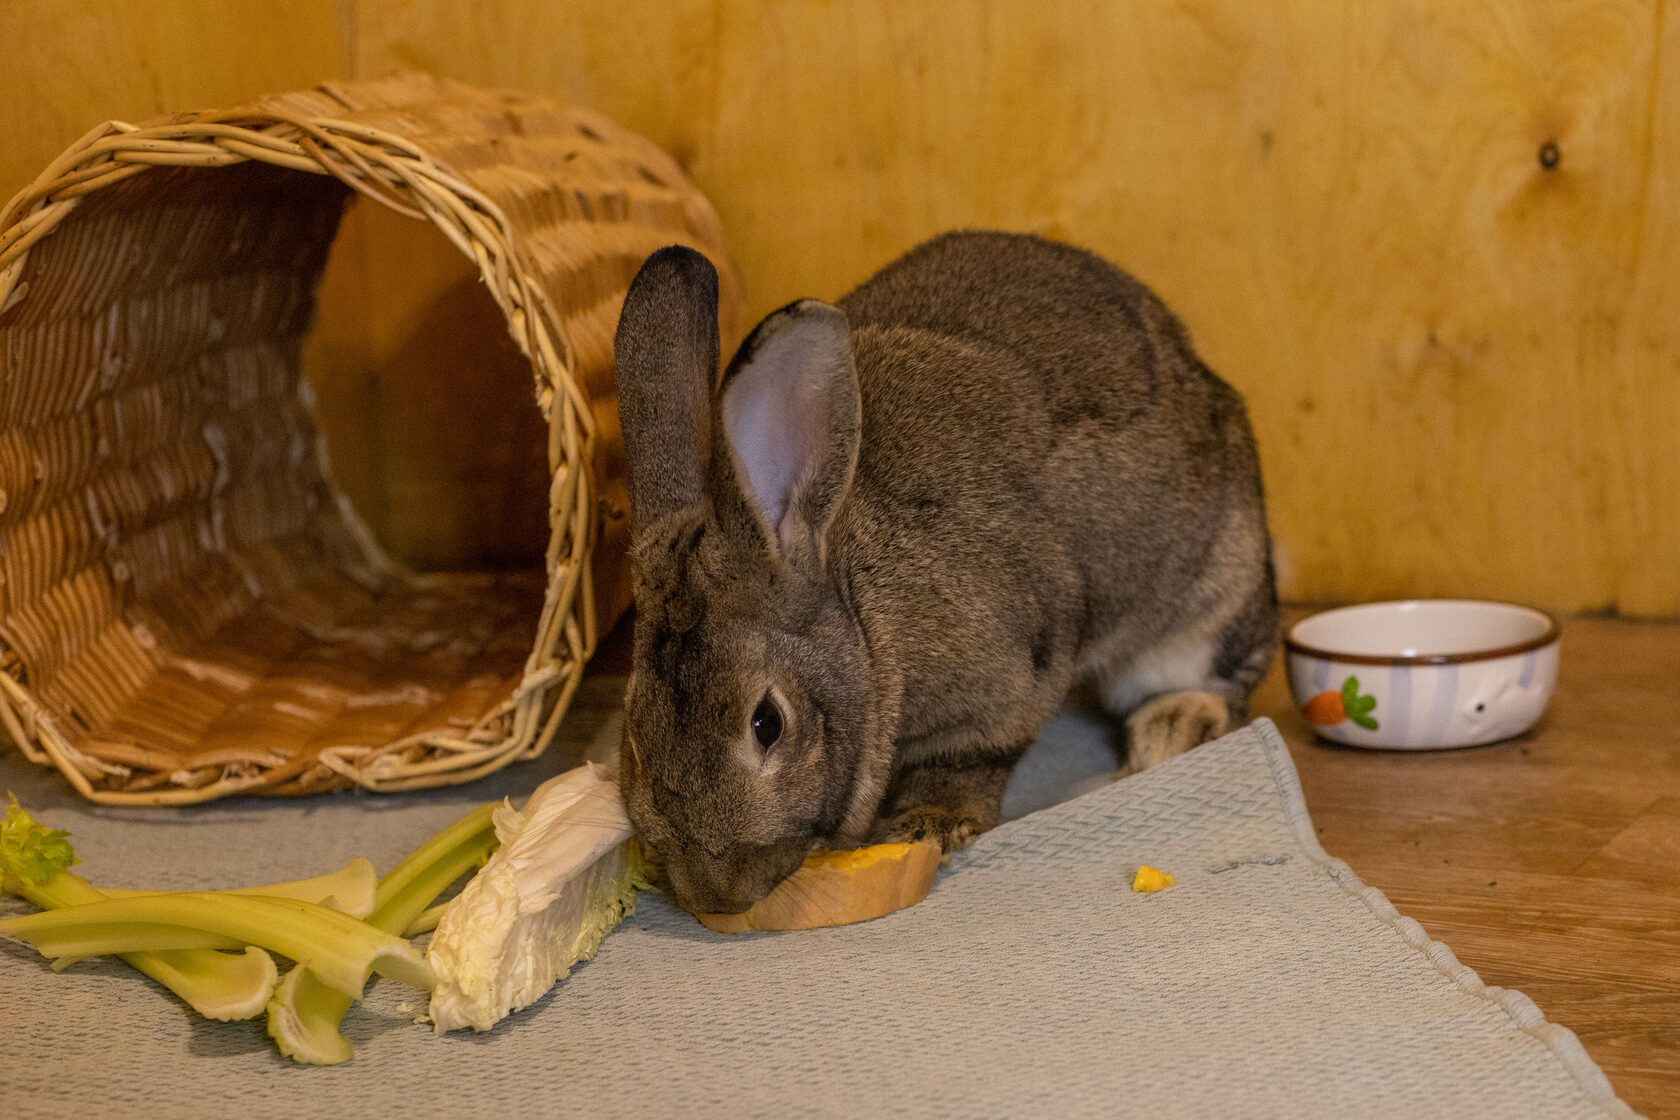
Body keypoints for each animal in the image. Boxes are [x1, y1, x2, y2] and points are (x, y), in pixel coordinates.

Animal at [614, 231, 1270, 913]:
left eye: (767, 724)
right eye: (634, 731)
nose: (714, 895)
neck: (867, 620)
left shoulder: (1009, 680)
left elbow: (969, 758)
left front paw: (926, 823)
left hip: (1205, 609)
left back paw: (1173, 727)